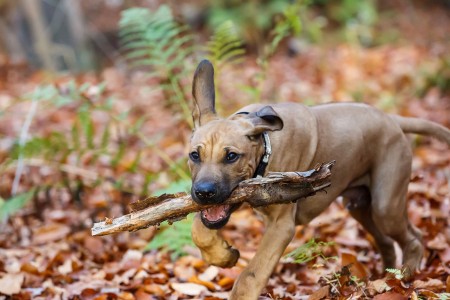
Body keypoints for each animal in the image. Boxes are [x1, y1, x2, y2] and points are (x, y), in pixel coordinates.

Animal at [188, 59, 448, 298]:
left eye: (231, 156)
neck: (265, 144)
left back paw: (404, 277)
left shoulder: (281, 226)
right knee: (386, 241)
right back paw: (384, 279)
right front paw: (222, 255)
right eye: (194, 155)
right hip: (359, 206)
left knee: (414, 238)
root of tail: (392, 119)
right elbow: (199, 228)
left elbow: (251, 275)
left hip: (386, 206)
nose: (204, 192)